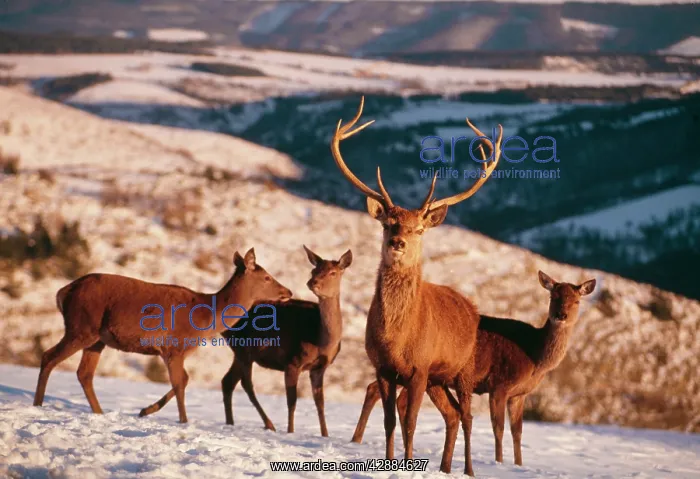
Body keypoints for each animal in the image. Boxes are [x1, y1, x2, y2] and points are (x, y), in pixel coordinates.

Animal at [33, 248, 293, 424]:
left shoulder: (176, 351)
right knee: (49, 356)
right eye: (267, 277)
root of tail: (63, 292)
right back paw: (37, 405)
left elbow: (184, 380)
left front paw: (145, 410)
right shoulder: (173, 345)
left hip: (97, 338)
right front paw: (183, 421)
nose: (288, 291)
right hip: (81, 326)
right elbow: (180, 382)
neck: (205, 319)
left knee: (84, 373)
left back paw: (99, 413)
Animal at [221, 245, 352, 437]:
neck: (320, 340)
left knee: (227, 382)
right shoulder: (292, 361)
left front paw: (325, 435)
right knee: (246, 383)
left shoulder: (320, 367)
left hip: (241, 352)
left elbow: (320, 403)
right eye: (314, 270)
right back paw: (269, 424)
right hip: (243, 348)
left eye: (333, 272)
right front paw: (290, 432)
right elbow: (292, 401)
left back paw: (230, 423)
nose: (312, 282)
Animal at [330, 96, 503, 476]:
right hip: (440, 380)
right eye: (388, 223)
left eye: (419, 229)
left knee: (467, 416)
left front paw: (409, 464)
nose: (398, 242)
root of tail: (472, 308)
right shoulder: (383, 367)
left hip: (464, 370)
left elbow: (410, 422)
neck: (397, 338)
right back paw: (446, 466)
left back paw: (468, 469)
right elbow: (389, 421)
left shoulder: (420, 367)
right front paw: (390, 462)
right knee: (452, 415)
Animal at [350, 270, 597, 467]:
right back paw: (357, 440)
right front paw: (499, 462)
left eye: (577, 301)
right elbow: (499, 428)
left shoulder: (520, 394)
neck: (534, 356)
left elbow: (518, 431)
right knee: (382, 392)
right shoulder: (500, 384)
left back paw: (359, 440)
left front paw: (518, 464)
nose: (561, 315)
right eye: (553, 296)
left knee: (379, 391)